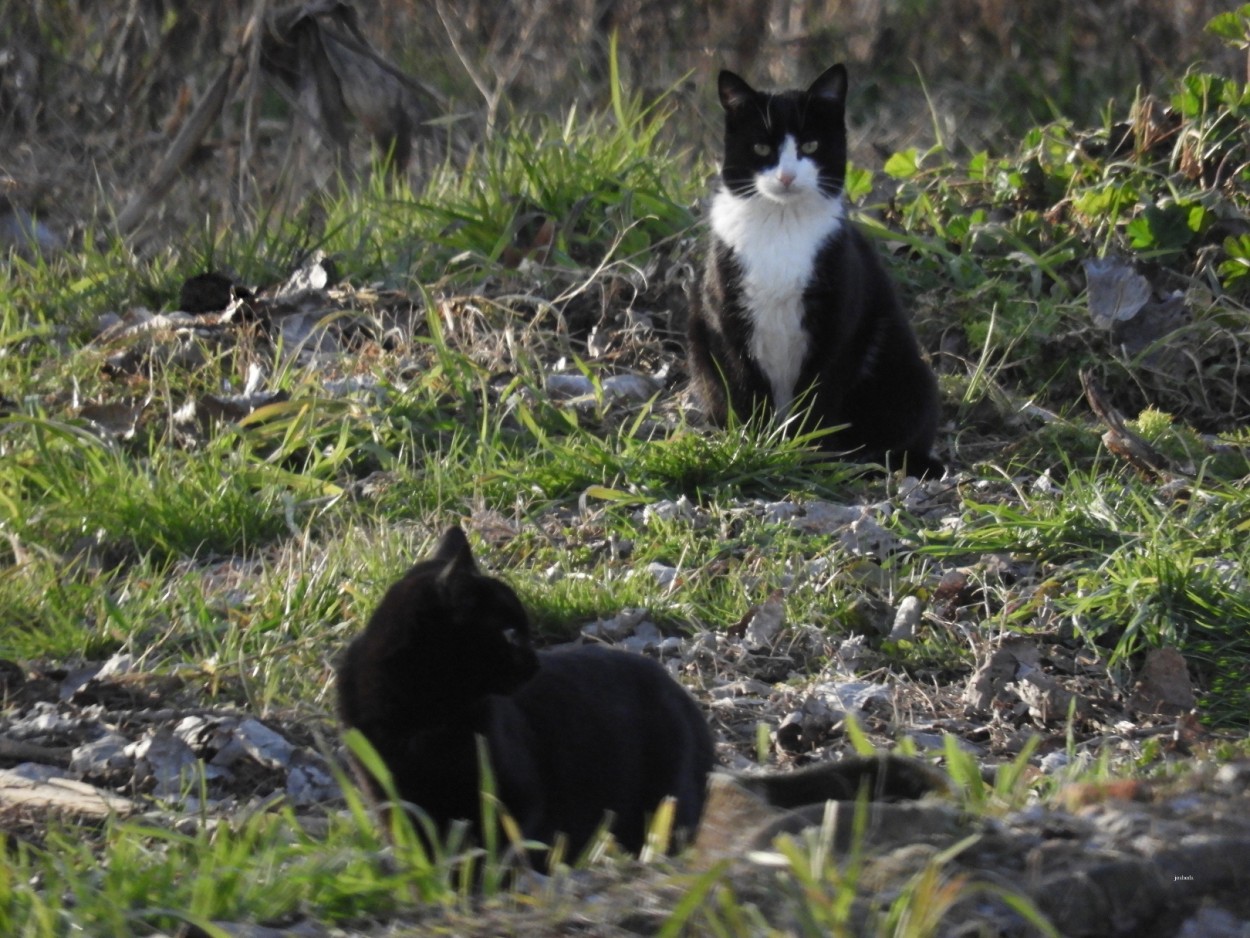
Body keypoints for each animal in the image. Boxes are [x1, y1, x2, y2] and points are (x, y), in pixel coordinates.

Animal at [690, 64, 940, 477]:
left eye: (810, 146)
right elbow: (744, 385)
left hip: (903, 371)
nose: (786, 176)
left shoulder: (837, 321)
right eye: (762, 148)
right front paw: (754, 446)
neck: (781, 224)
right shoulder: (726, 315)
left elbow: (820, 392)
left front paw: (807, 450)